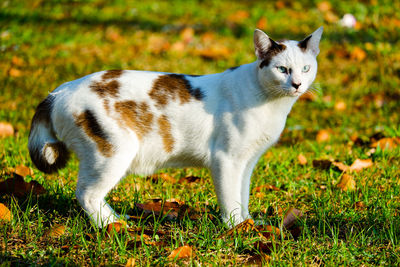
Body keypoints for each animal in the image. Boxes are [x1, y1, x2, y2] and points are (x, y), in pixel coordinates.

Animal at [28, 26, 324, 228]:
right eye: (282, 69)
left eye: (306, 68)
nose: (297, 84)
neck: (271, 103)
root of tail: (59, 90)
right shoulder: (226, 159)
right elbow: (230, 197)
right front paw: (236, 229)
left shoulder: (247, 161)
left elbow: (242, 194)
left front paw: (248, 222)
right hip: (112, 153)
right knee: (86, 194)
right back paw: (111, 226)